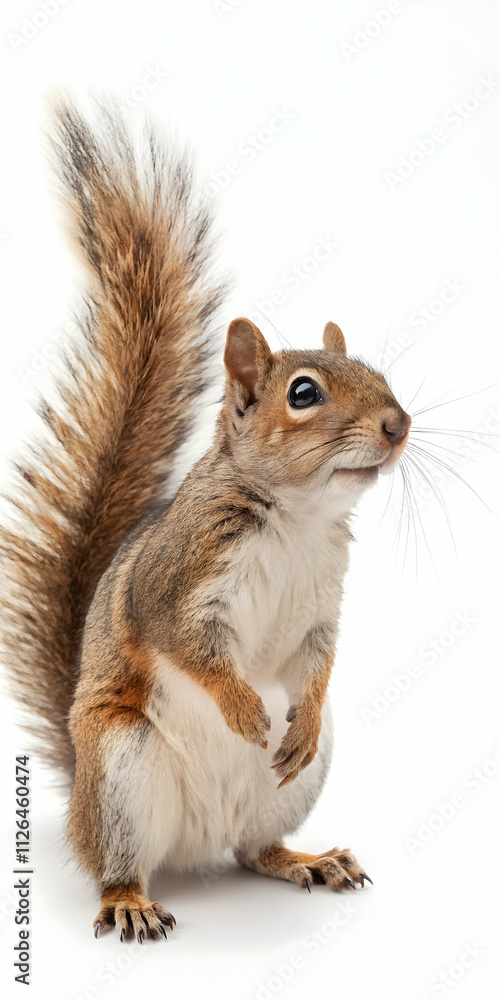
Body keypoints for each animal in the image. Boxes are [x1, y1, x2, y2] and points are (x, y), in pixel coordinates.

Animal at [0, 99, 411, 944]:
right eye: (303, 393)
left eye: (380, 374)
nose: (399, 426)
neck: (296, 520)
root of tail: (191, 848)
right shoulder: (180, 579)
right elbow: (191, 648)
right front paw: (244, 709)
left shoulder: (322, 601)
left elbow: (318, 659)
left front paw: (292, 718)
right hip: (121, 768)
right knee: (118, 864)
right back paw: (129, 899)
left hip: (295, 784)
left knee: (255, 848)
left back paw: (307, 858)